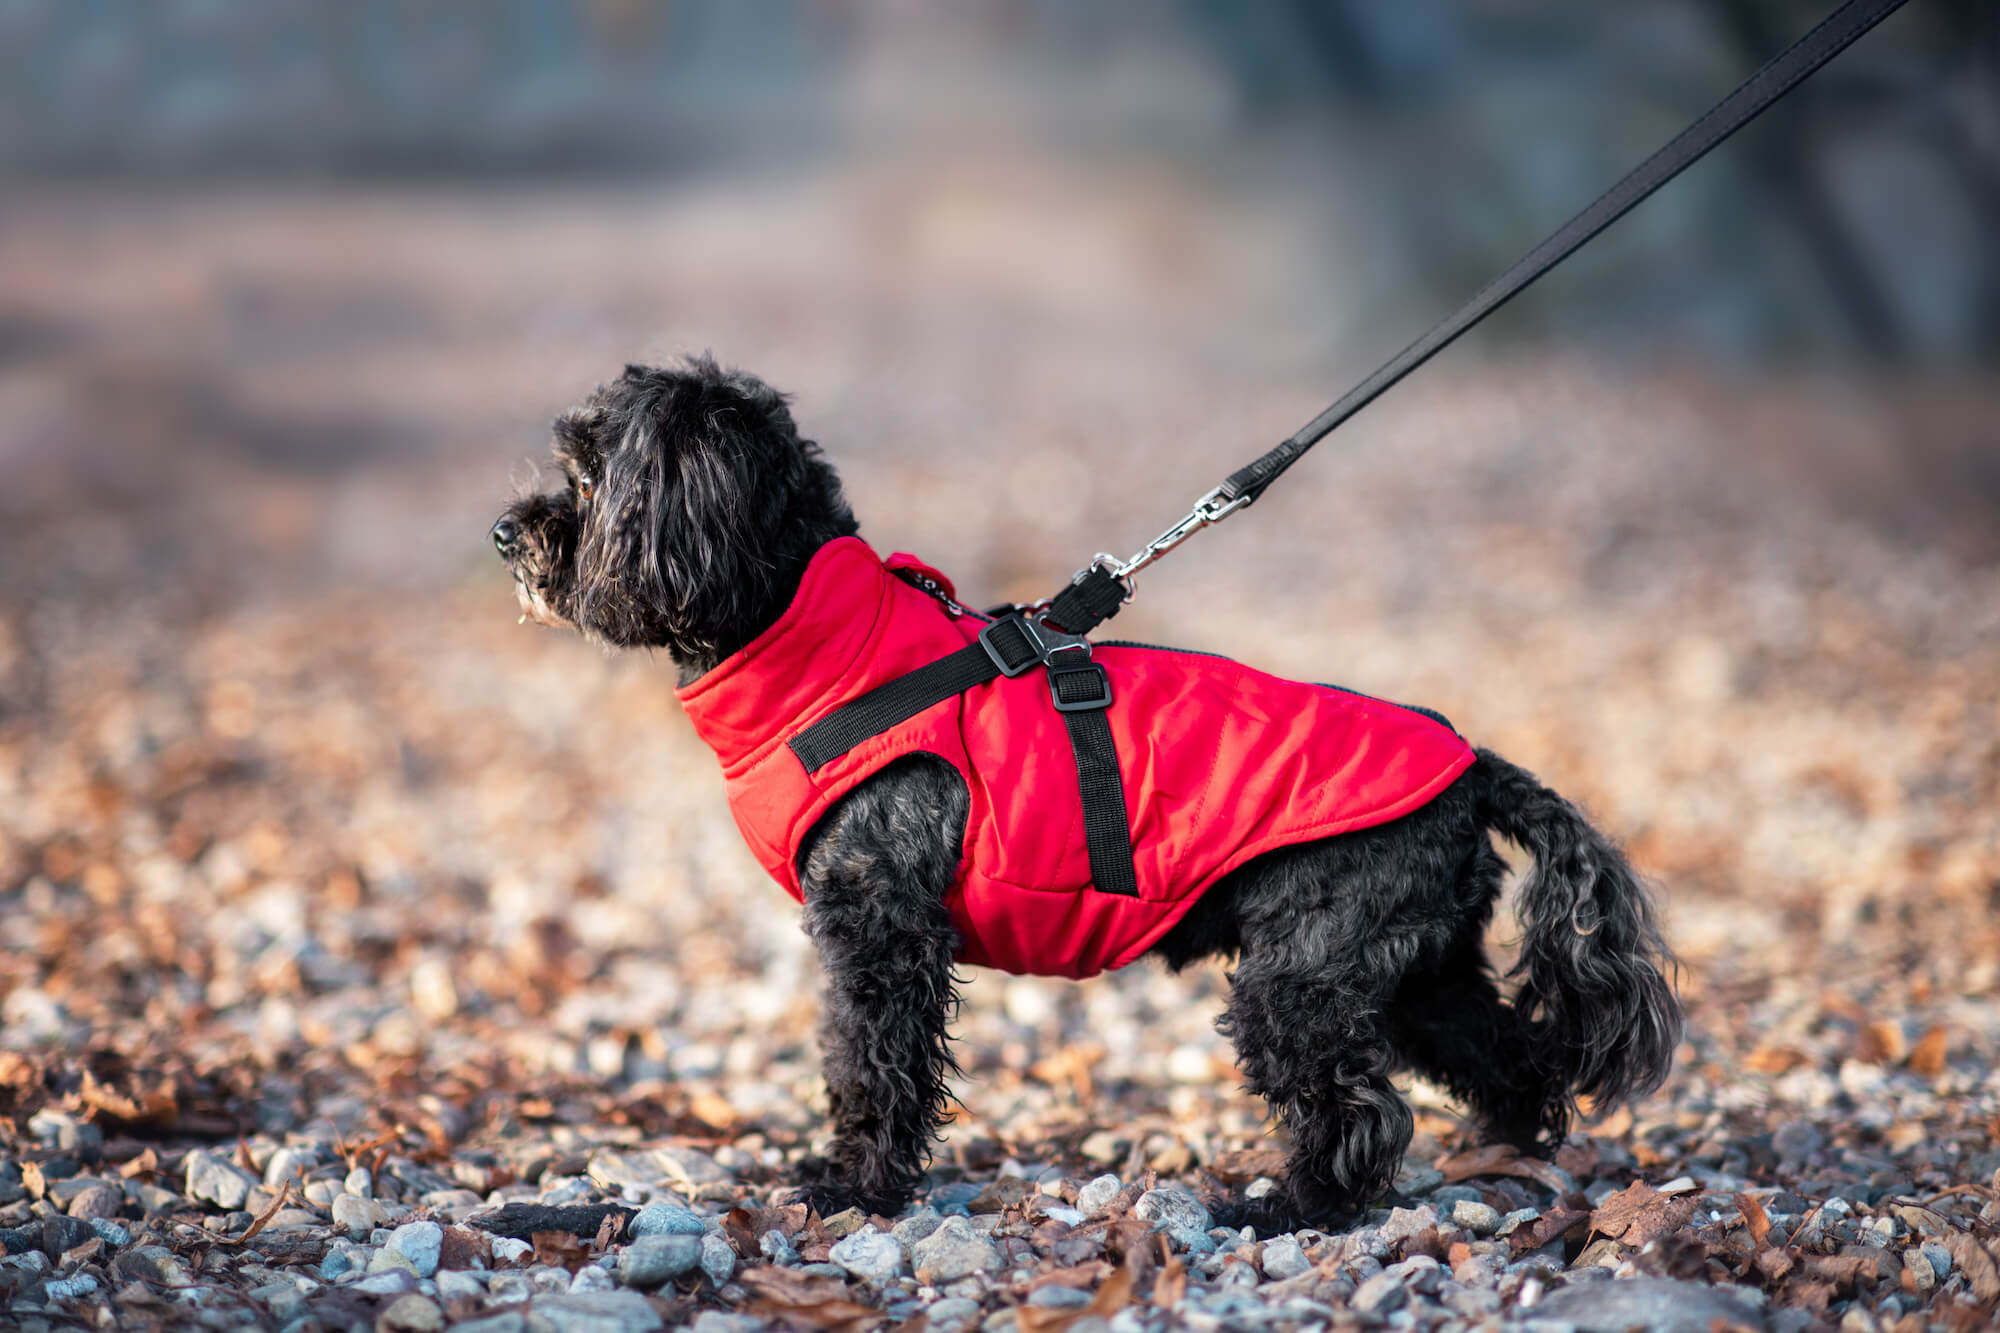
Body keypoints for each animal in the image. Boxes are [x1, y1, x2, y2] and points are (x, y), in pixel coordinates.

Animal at [492, 356, 1680, 1224]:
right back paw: (1508, 1151)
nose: (505, 531)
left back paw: (1294, 1208)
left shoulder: (880, 924)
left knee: (1358, 1105)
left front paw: (859, 1189)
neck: (822, 643)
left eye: (591, 476)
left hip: (1302, 975)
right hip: (1413, 966)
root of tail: (1471, 765)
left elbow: (874, 1062)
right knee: (1507, 1055)